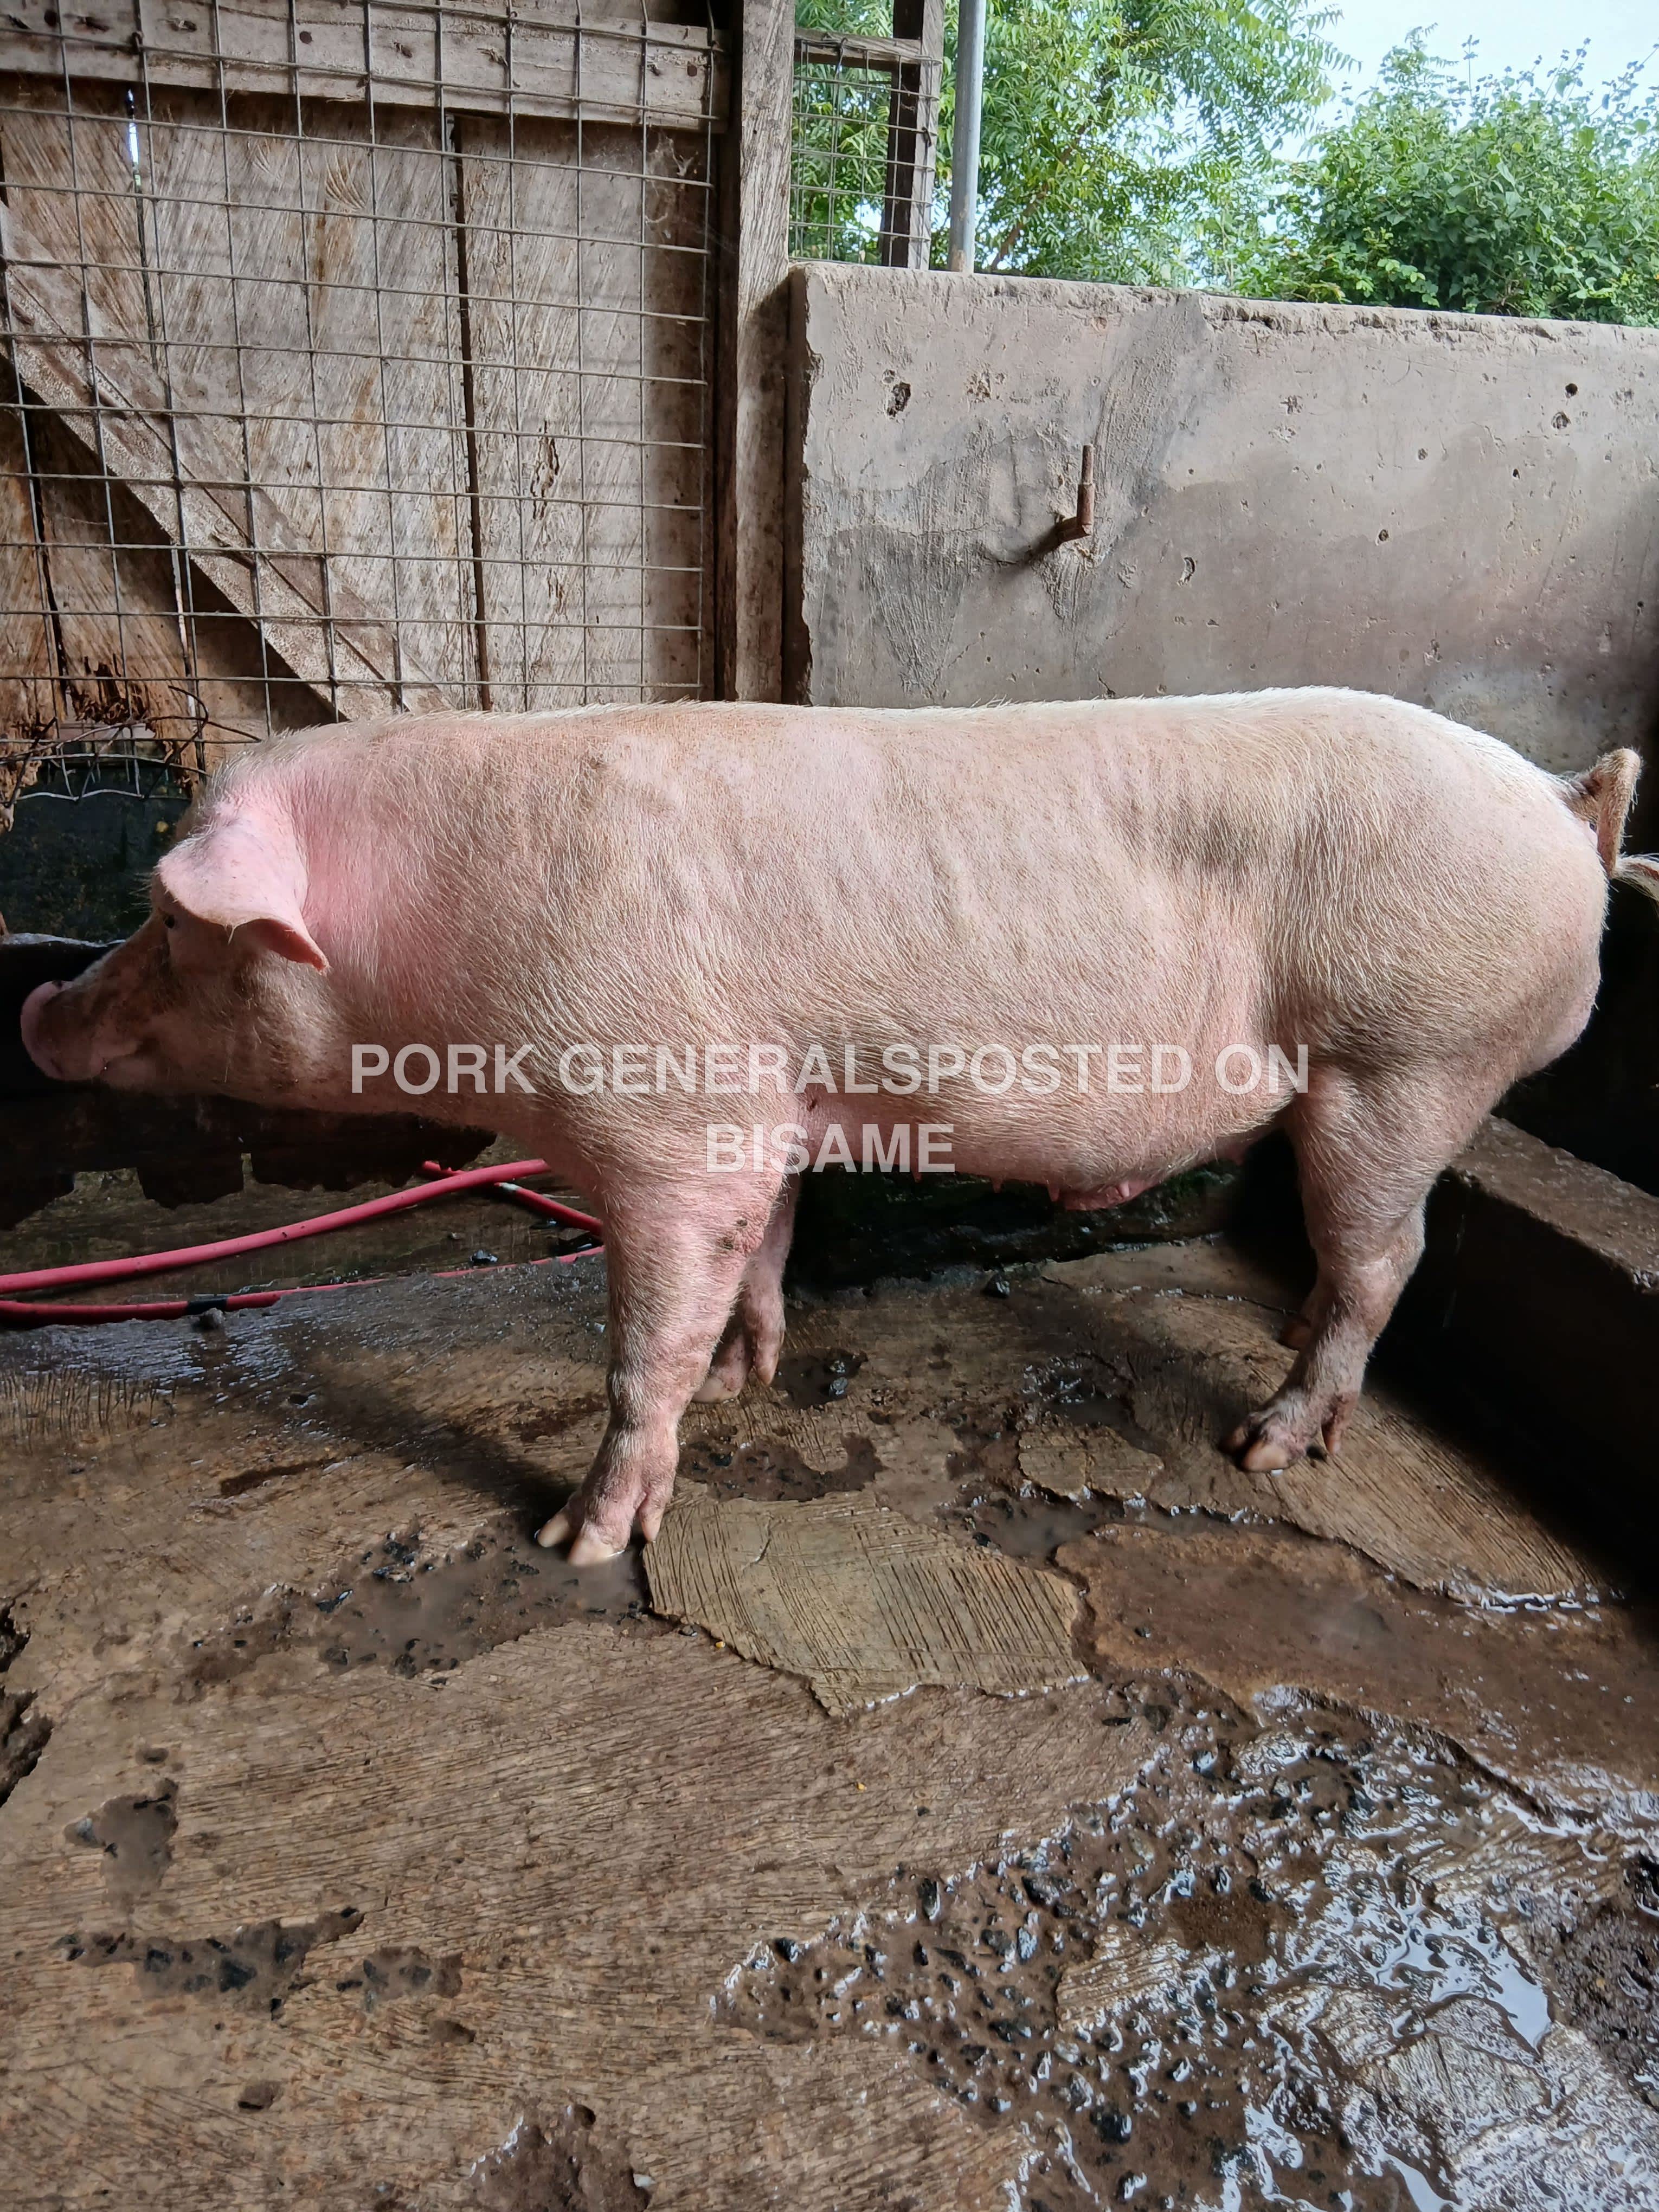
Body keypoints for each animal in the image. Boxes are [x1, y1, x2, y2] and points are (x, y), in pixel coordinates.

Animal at [21, 691, 1658, 1562]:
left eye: (168, 920)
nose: (37, 1006)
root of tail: (1559, 799)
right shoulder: (770, 1114)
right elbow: (762, 1255)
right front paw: (752, 1376)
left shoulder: (665, 1124)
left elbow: (640, 1346)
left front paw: (577, 1541)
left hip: (1404, 1063)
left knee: (1385, 1259)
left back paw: (1266, 1446)